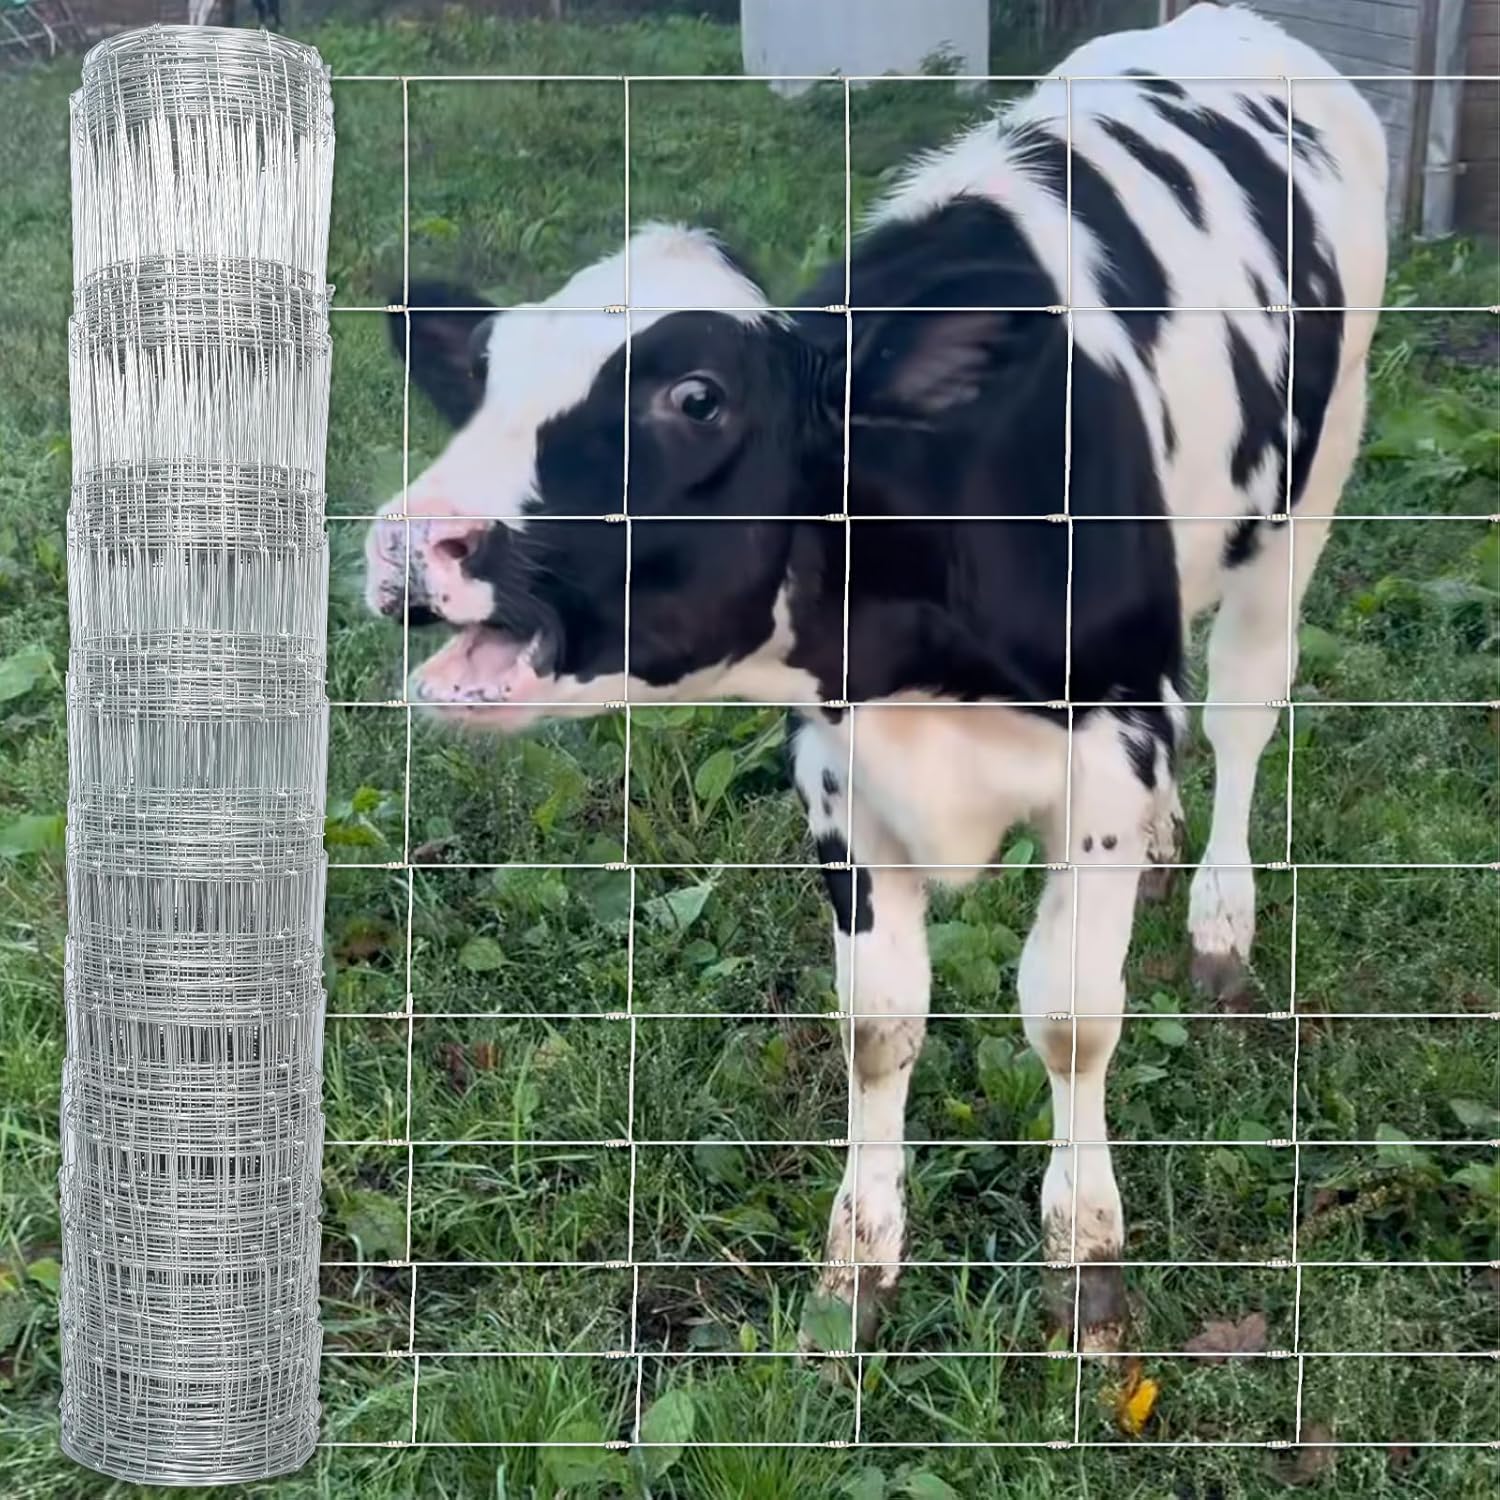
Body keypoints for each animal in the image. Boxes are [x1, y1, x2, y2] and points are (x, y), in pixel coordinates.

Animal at [363, 4, 1387, 1350]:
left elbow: (1072, 1015)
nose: (406, 541)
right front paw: (856, 1268)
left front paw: (1084, 1255)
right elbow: (878, 1025)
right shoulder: (839, 781)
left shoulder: (1107, 747)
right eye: (479, 379)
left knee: (1246, 705)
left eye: (696, 397)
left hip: (1313, 484)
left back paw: (1222, 910)